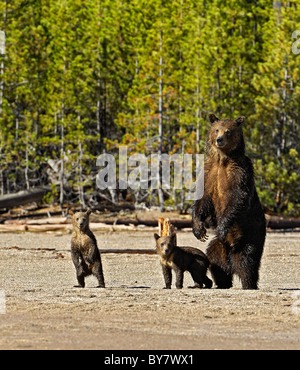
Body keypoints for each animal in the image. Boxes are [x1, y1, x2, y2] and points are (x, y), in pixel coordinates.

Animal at [192, 114, 264, 290]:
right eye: (217, 129)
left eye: (228, 131)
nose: (219, 139)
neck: (222, 159)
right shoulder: (209, 172)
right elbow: (203, 198)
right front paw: (199, 229)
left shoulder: (239, 171)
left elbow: (237, 197)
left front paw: (222, 227)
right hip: (219, 246)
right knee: (215, 260)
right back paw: (222, 282)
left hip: (251, 234)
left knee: (247, 260)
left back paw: (248, 284)